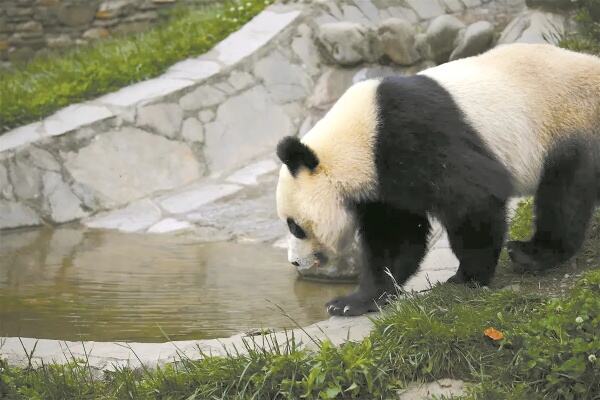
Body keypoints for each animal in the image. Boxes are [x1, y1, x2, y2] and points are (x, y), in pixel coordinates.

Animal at [276, 43, 600, 316]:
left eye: (295, 226)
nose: (294, 261)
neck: (359, 138)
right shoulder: (384, 182)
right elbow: (395, 236)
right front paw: (353, 301)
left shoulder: (414, 135)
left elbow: (472, 199)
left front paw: (467, 278)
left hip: (569, 121)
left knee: (563, 195)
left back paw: (532, 253)